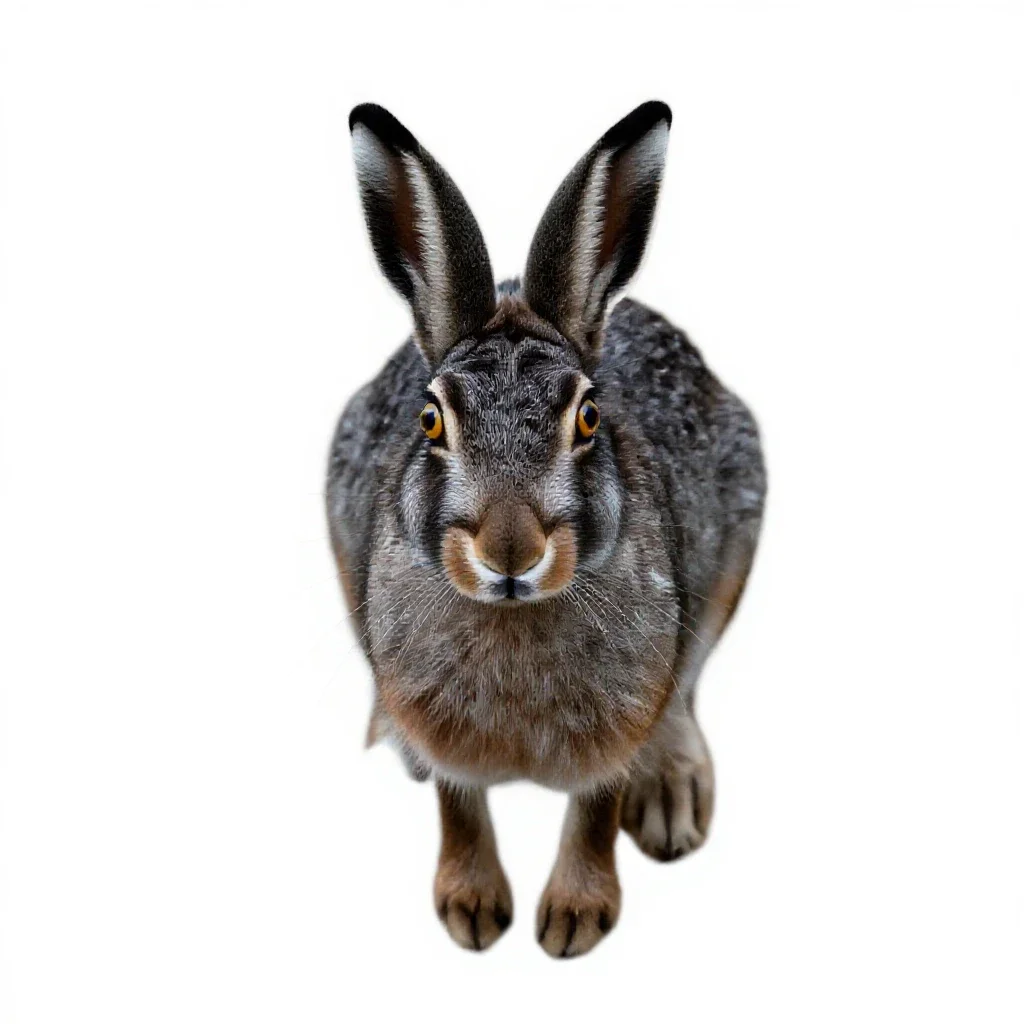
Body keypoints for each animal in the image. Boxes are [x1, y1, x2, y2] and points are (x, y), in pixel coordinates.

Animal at [326, 100, 765, 957]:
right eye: (431, 421)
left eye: (588, 417)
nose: (510, 550)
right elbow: (457, 805)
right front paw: (471, 910)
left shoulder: (621, 722)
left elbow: (595, 810)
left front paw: (573, 921)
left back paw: (673, 794)